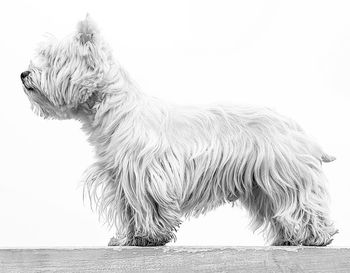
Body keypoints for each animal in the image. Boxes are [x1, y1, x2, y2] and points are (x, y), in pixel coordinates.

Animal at [20, 15, 338, 246]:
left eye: (52, 59)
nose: (23, 74)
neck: (114, 112)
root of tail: (297, 128)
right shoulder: (120, 178)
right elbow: (128, 210)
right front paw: (128, 238)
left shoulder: (144, 174)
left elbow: (147, 207)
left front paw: (149, 237)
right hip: (262, 185)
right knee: (281, 210)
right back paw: (289, 239)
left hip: (284, 174)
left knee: (303, 205)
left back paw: (315, 238)